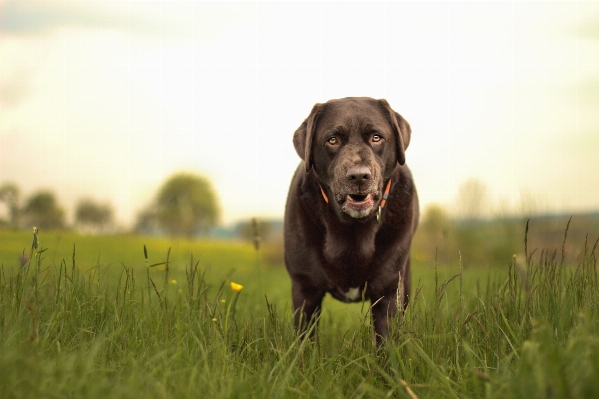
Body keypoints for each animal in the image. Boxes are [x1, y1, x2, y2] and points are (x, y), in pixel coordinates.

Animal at [284, 97, 418, 346]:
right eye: (332, 140)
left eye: (376, 137)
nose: (358, 176)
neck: (352, 229)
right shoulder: (305, 288)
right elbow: (304, 342)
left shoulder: (388, 290)